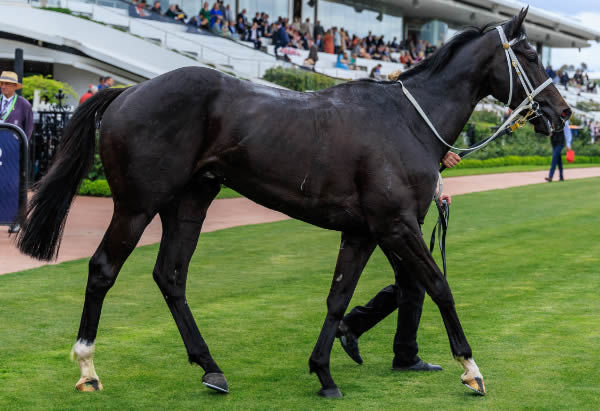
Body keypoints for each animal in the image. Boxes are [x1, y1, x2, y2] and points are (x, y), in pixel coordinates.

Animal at [17, 7, 568, 400]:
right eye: (530, 55)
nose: (562, 113)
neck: (408, 120)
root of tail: (127, 91)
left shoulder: (363, 231)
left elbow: (339, 297)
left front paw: (324, 371)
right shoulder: (397, 225)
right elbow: (438, 285)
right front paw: (470, 368)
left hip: (191, 200)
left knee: (170, 275)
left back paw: (211, 368)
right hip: (136, 203)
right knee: (103, 269)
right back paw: (88, 366)